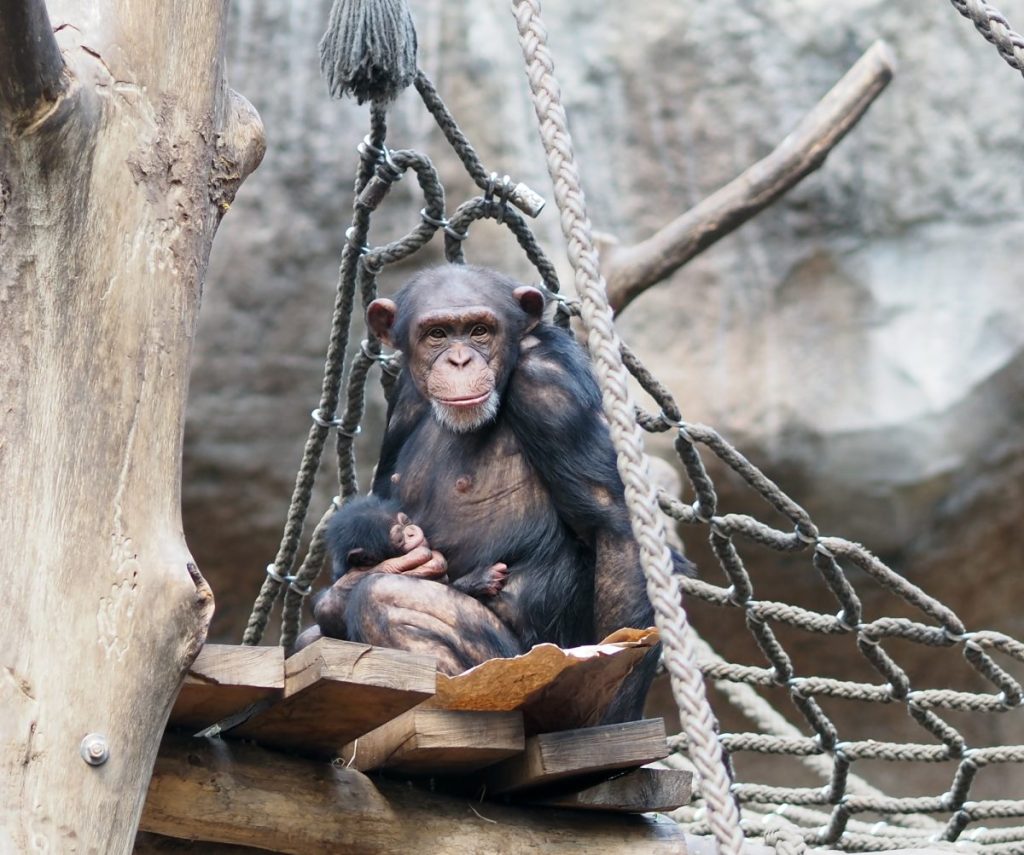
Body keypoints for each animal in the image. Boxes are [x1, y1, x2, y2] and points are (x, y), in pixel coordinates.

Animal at [311, 264, 684, 720]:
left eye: (479, 331)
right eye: (436, 334)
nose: (459, 359)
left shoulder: (548, 380)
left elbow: (613, 522)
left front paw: (611, 712)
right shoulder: (403, 397)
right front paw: (346, 585)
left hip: (521, 666)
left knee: (385, 599)